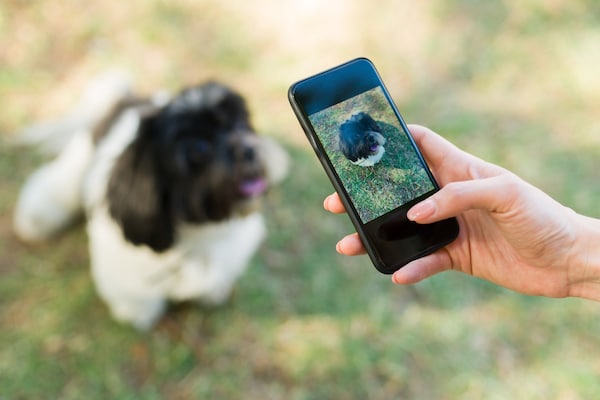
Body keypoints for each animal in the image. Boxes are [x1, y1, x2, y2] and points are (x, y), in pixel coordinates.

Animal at [12, 75, 288, 332]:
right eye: (199, 147)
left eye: (240, 124)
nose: (248, 150)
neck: (199, 234)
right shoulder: (125, 275)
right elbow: (137, 299)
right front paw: (139, 315)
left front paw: (213, 293)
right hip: (80, 159)